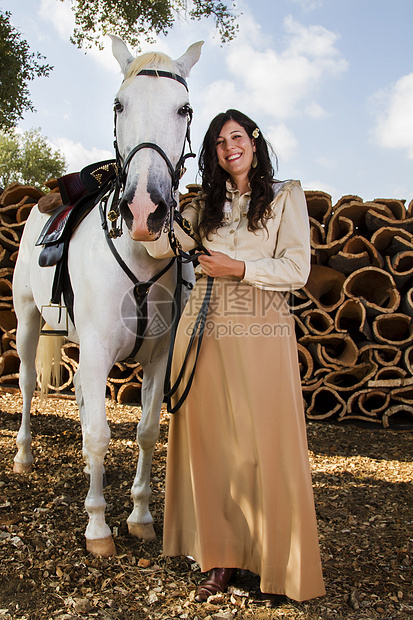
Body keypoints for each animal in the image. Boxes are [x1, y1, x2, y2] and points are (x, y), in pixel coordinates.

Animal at [11, 35, 201, 556]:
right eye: (119, 104)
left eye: (183, 109)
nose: (144, 210)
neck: (138, 253)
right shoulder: (97, 352)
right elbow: (99, 435)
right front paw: (97, 526)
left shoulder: (156, 359)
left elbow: (146, 433)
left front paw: (140, 516)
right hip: (27, 320)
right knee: (29, 384)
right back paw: (24, 454)